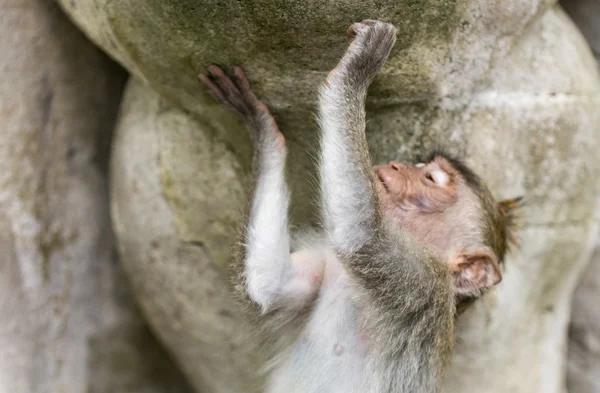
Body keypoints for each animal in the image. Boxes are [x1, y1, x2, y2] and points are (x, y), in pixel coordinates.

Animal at [199, 19, 516, 392]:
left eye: (433, 179)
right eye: (421, 166)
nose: (398, 165)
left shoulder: (421, 281)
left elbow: (360, 237)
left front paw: (355, 72)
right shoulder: (329, 264)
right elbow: (269, 285)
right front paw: (261, 128)